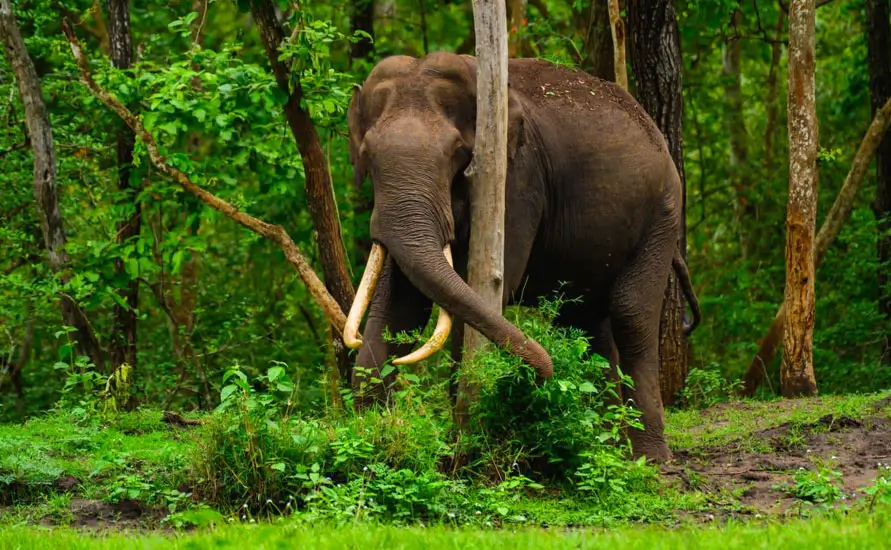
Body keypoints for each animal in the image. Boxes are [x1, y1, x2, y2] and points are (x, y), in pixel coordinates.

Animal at [340, 51, 701, 462]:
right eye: (367, 155)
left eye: (456, 153)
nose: (547, 373)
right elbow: (401, 305)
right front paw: (373, 446)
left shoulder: (516, 180)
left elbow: (481, 293)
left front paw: (463, 451)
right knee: (584, 320)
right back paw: (605, 449)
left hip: (662, 215)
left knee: (631, 314)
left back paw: (649, 459)